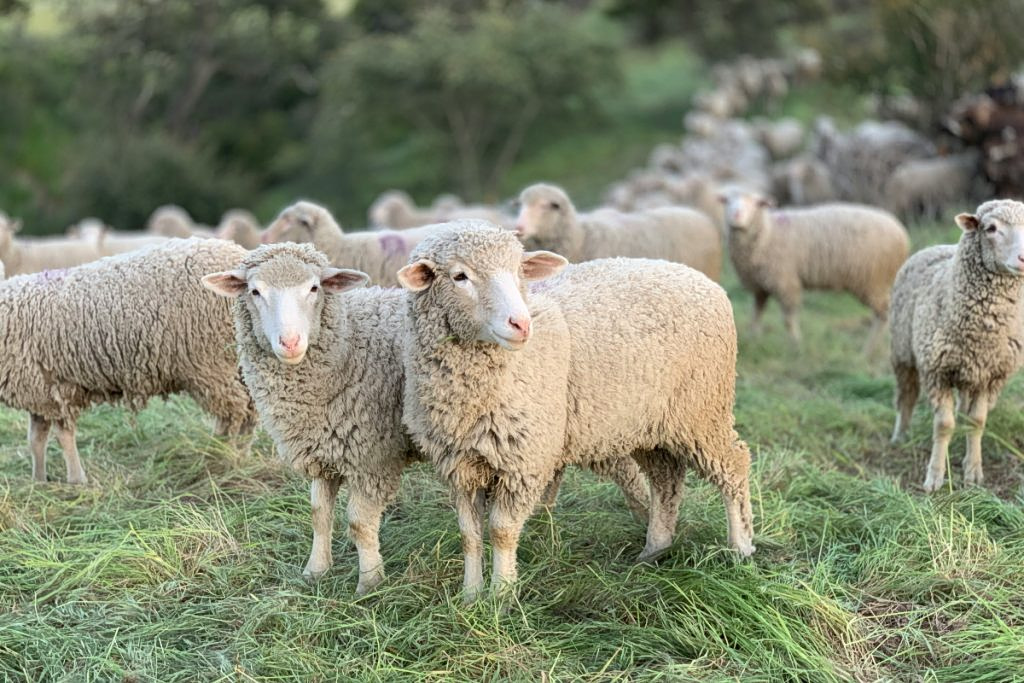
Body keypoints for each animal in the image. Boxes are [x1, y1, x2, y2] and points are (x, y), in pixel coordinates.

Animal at [0, 238, 256, 484]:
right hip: (236, 363)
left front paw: (76, 480)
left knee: (233, 413)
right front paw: (38, 481)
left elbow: (63, 436)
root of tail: (239, 254)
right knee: (250, 410)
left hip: (211, 364)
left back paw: (221, 455)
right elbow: (36, 440)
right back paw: (239, 454)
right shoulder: (38, 390)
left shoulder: (55, 389)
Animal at [202, 242, 651, 593]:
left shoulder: (372, 455)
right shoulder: (323, 449)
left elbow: (359, 523)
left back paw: (647, 527)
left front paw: (370, 582)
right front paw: (315, 570)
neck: (347, 345)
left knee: (629, 473)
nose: (290, 342)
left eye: (314, 288)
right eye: (255, 291)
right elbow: (318, 513)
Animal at [399, 222, 754, 599]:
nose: (521, 324)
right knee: (666, 480)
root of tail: (704, 281)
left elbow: (501, 532)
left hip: (703, 410)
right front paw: (470, 596)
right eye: (460, 276)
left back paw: (740, 548)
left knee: (733, 465)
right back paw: (654, 549)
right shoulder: (459, 464)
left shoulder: (524, 461)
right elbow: (469, 534)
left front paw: (502, 595)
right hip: (651, 422)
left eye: (519, 271)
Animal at [720, 191, 910, 348]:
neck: (768, 233)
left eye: (756, 203)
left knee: (883, 314)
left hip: (872, 281)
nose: (736, 215)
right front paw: (753, 339)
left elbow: (789, 319)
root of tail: (901, 233)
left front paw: (796, 345)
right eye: (728, 201)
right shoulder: (760, 287)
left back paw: (868, 351)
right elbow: (756, 314)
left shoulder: (786, 281)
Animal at [890, 200, 1024, 491]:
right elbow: (943, 425)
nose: (1023, 258)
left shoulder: (989, 374)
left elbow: (976, 421)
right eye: (991, 228)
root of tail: (936, 245)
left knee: (963, 408)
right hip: (902, 352)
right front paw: (935, 477)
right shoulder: (936, 371)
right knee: (906, 396)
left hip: (968, 372)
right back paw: (900, 436)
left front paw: (973, 471)